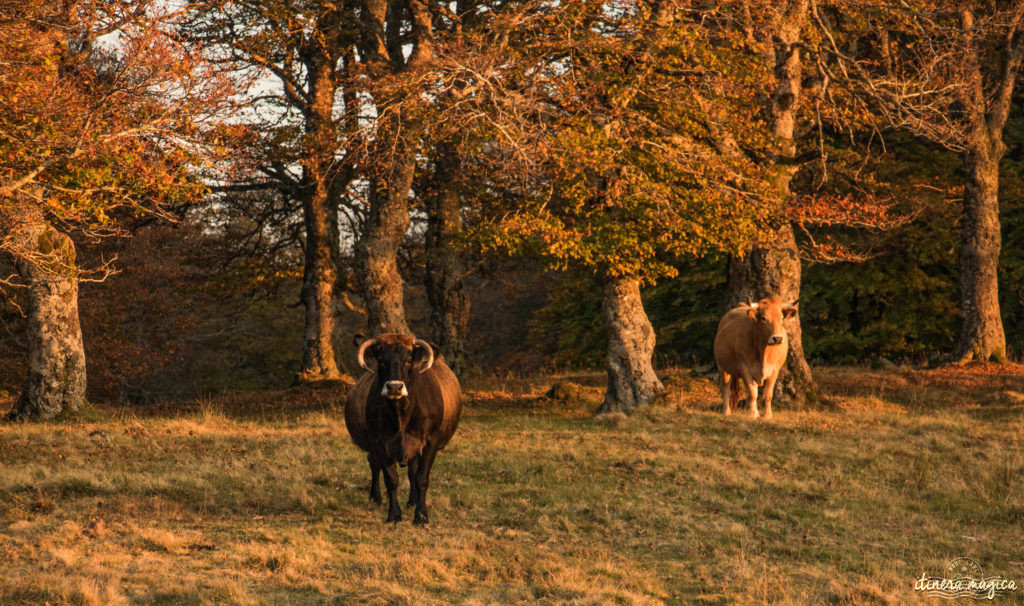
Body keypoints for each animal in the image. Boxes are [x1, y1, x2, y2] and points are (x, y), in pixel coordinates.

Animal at [344, 333, 460, 524]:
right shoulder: (379, 442)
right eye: (381, 359)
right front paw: (394, 515)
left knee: (412, 471)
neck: (401, 417)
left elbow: (421, 478)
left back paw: (412, 502)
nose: (395, 387)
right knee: (374, 464)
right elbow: (391, 478)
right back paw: (375, 498)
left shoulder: (430, 442)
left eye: (408, 360)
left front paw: (421, 515)